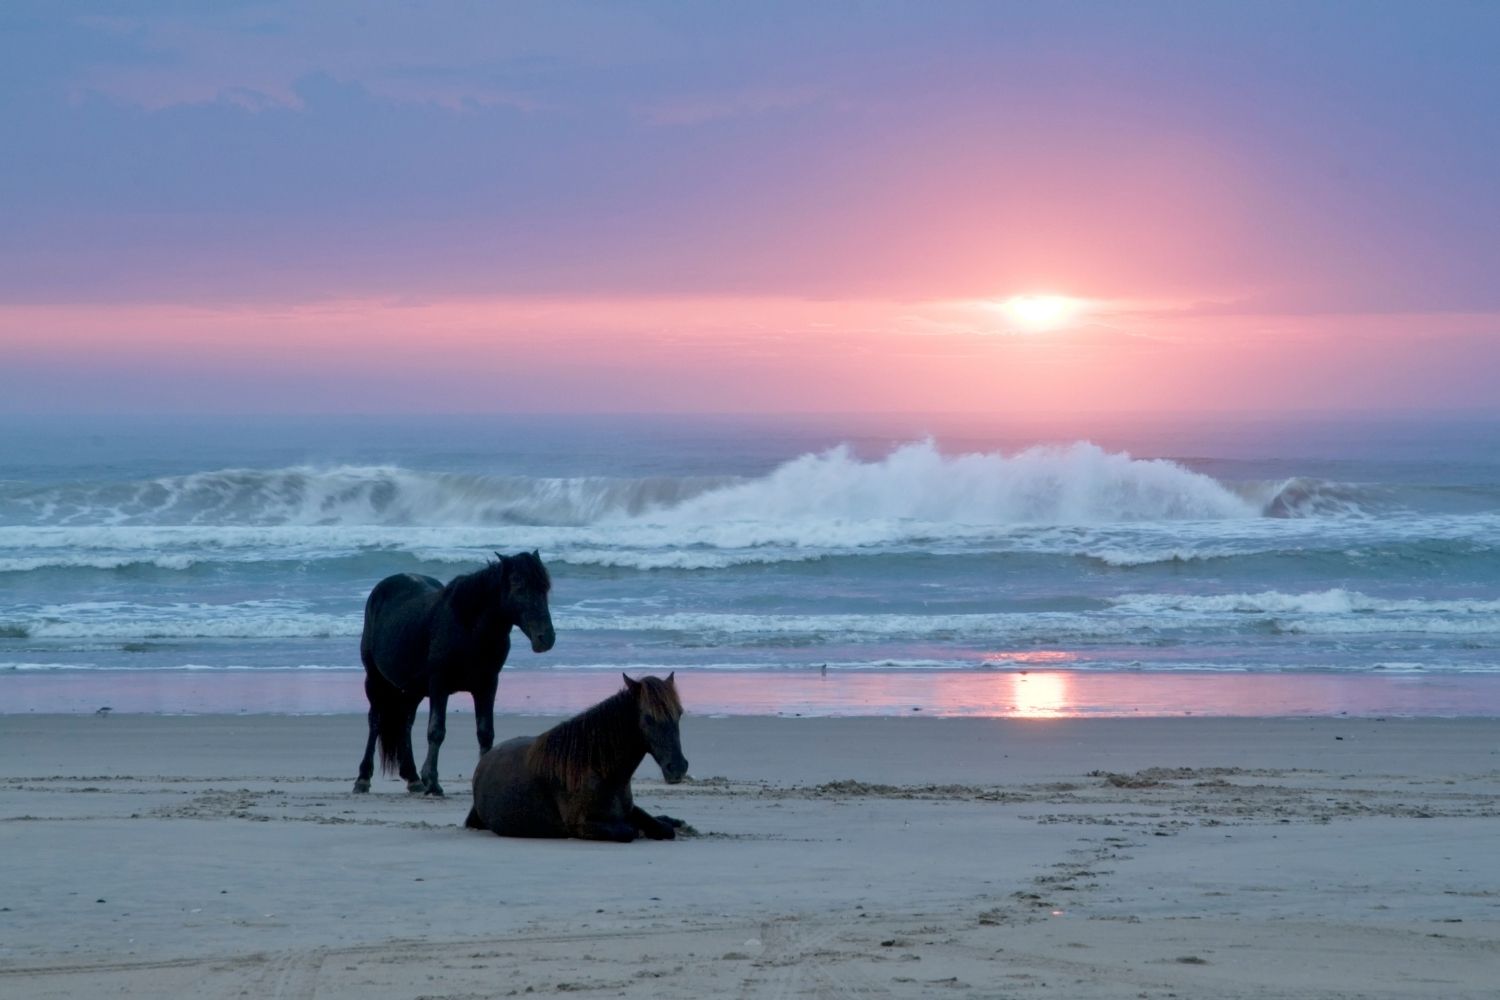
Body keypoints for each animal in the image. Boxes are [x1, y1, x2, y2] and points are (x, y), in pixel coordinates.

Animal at [354, 548, 555, 797]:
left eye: (544, 588)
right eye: (519, 587)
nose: (546, 638)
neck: (468, 628)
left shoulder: (487, 685)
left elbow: (485, 733)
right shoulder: (439, 684)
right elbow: (436, 731)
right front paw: (433, 782)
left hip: (411, 690)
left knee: (405, 724)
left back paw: (413, 778)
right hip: (375, 680)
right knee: (375, 721)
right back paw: (363, 779)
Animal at [465, 671, 687, 845]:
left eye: (679, 714)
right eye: (649, 718)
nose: (677, 767)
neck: (598, 768)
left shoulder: (630, 810)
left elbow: (663, 829)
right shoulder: (581, 825)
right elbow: (628, 831)